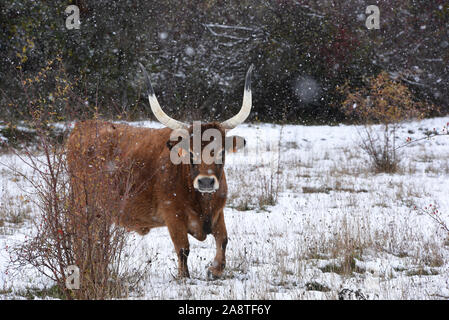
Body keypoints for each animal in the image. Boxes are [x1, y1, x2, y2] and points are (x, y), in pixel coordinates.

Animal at [66, 62, 252, 278]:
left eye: (222, 152)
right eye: (190, 153)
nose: (206, 182)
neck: (201, 200)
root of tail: (82, 126)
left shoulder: (217, 213)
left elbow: (223, 240)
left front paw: (214, 269)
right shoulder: (173, 216)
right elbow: (183, 249)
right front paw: (184, 277)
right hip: (83, 204)